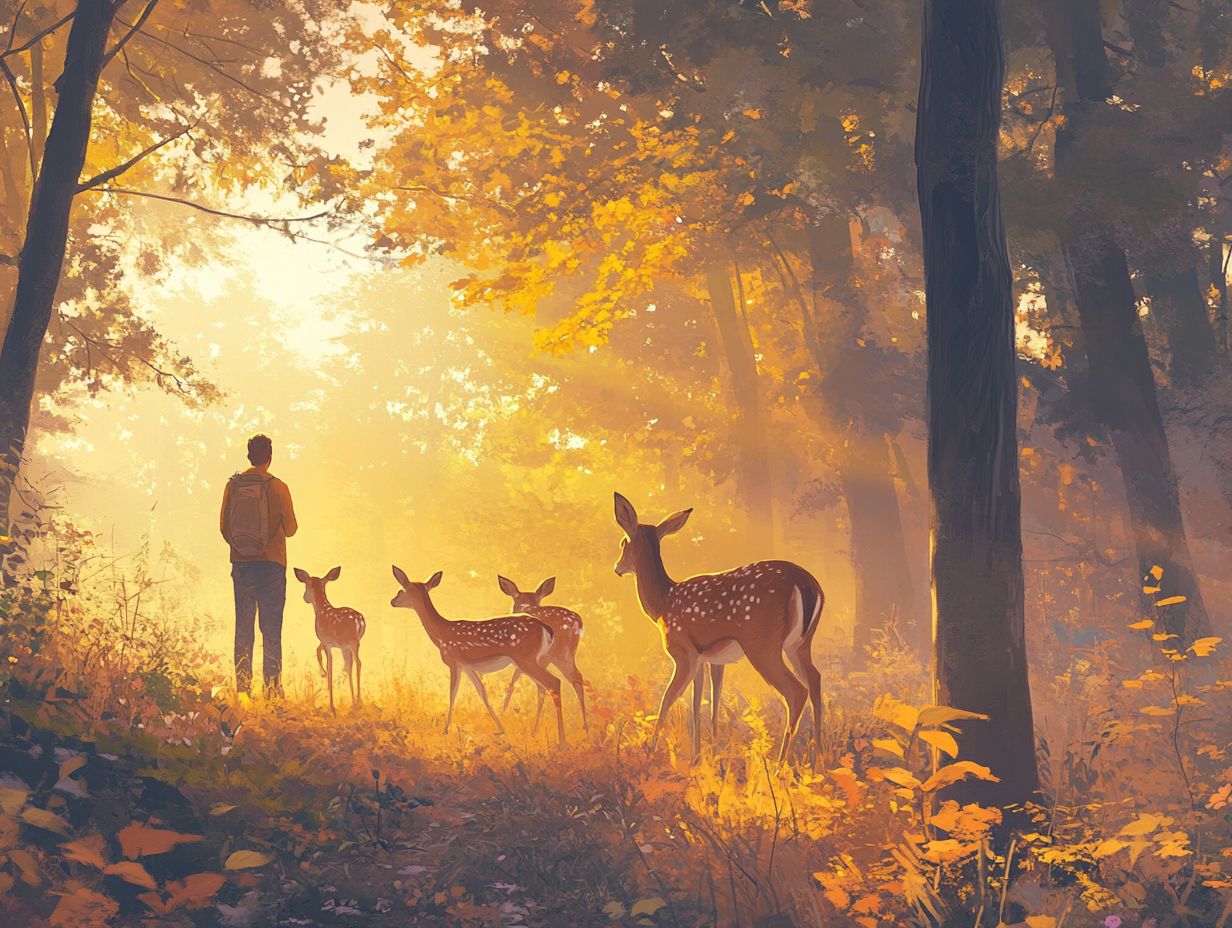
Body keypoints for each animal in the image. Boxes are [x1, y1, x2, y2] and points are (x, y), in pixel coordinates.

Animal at [294, 561, 364, 714]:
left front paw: (332, 706)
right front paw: (323, 674)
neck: (321, 610)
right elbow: (319, 651)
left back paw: (357, 702)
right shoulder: (331, 642)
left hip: (351, 641)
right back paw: (356, 703)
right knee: (354, 664)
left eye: (306, 585)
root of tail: (359, 621)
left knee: (357, 663)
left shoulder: (326, 641)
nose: (304, 598)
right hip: (353, 644)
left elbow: (329, 664)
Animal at [389, 564, 566, 744]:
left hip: (525, 658)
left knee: (554, 682)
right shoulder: (468, 666)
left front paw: (445, 730)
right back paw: (540, 734)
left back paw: (562, 740)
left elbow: (452, 694)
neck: (441, 634)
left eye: (402, 589)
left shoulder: (454, 661)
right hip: (532, 660)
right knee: (544, 687)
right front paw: (501, 729)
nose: (393, 601)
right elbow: (483, 693)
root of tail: (546, 629)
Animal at [492, 571, 588, 729]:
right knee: (576, 677)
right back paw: (585, 726)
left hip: (554, 653)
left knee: (556, 682)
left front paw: (503, 711)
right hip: (565, 654)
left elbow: (515, 679)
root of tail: (576, 622)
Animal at [611, 492, 822, 759]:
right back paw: (820, 760)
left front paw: (651, 753)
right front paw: (704, 757)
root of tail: (807, 585)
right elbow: (706, 703)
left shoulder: (683, 651)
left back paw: (779, 764)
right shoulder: (710, 659)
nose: (617, 568)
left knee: (795, 691)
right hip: (800, 643)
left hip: (762, 644)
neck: (663, 604)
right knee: (815, 679)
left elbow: (668, 699)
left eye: (622, 543)